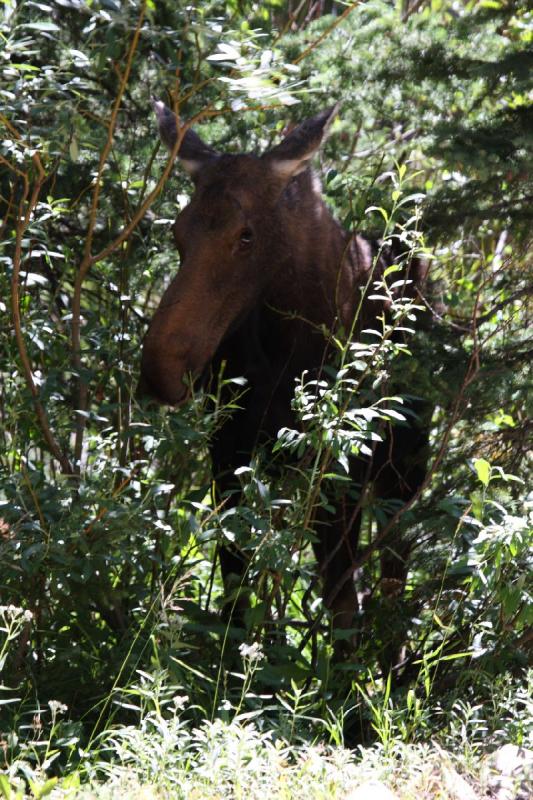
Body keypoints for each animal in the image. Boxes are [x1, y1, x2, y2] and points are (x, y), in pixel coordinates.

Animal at [138, 100, 428, 664]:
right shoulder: (228, 449)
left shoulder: (339, 463)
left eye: (246, 234)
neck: (286, 346)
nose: (161, 369)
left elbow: (342, 603)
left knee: (393, 567)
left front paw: (346, 688)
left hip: (403, 471)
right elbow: (236, 588)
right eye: (178, 233)